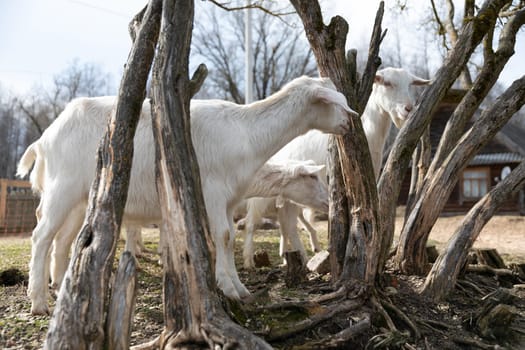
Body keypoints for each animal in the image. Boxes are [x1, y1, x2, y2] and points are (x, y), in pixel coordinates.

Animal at [17, 76, 356, 314]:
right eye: (311, 177)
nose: (348, 123)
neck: (247, 133)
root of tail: (44, 139)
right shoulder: (212, 191)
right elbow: (222, 236)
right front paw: (226, 288)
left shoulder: (229, 200)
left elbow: (229, 237)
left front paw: (238, 287)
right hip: (62, 188)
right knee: (41, 237)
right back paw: (39, 301)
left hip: (78, 200)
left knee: (62, 241)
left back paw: (62, 289)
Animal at [242, 67, 430, 266]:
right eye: (387, 83)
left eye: (410, 84)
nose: (408, 109)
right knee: (253, 223)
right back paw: (250, 260)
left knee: (287, 225)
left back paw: (291, 257)